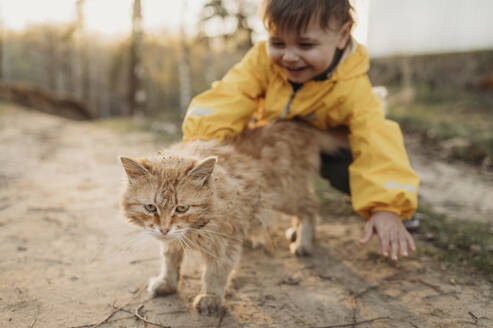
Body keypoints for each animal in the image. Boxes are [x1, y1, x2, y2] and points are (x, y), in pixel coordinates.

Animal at [120, 119, 346, 314]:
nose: (164, 229)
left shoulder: (225, 241)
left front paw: (211, 298)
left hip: (286, 195)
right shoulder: (172, 242)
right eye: (151, 207)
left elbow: (214, 273)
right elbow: (170, 260)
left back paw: (303, 243)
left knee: (312, 206)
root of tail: (296, 123)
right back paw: (294, 233)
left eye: (182, 208)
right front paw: (167, 282)